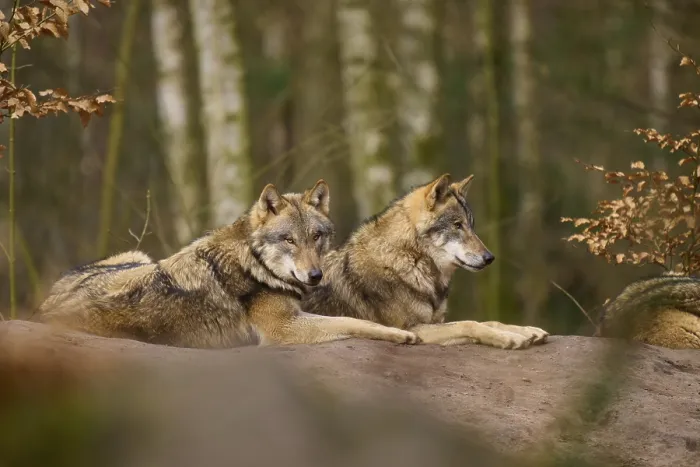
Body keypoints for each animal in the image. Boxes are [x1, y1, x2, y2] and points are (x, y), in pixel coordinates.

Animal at [39, 180, 419, 348]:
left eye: (316, 237)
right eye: (289, 240)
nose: (314, 275)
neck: (256, 263)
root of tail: (46, 306)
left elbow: (351, 317)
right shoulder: (284, 329)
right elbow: (353, 321)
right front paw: (401, 334)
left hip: (138, 255)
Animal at [302, 173, 549, 349]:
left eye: (471, 225)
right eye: (457, 225)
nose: (490, 258)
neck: (411, 260)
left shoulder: (435, 321)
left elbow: (488, 322)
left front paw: (526, 330)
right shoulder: (414, 329)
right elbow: (471, 323)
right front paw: (509, 338)